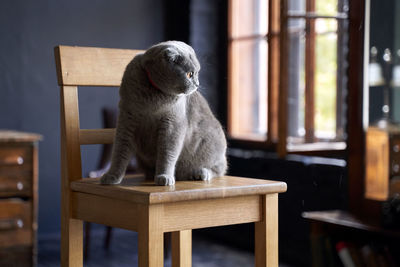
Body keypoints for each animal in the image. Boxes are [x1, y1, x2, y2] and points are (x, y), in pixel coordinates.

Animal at [101, 40, 228, 186]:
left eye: (197, 73)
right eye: (190, 74)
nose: (197, 84)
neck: (152, 97)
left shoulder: (172, 123)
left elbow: (167, 152)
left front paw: (164, 176)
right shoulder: (127, 118)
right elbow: (120, 151)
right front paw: (112, 176)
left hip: (213, 142)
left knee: (219, 169)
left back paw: (200, 173)